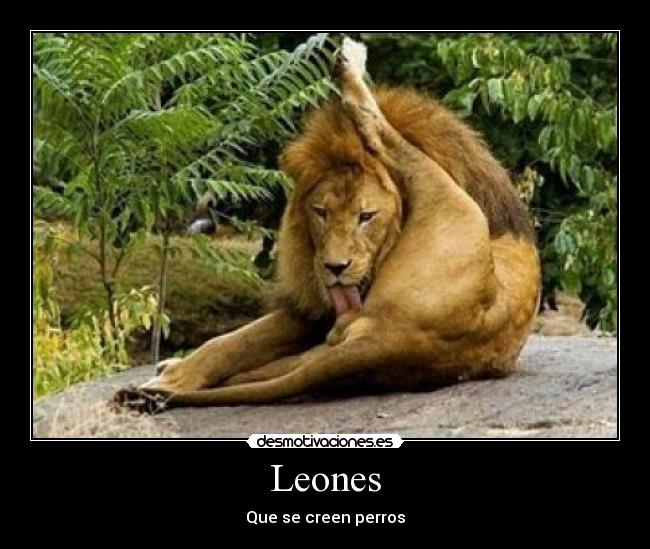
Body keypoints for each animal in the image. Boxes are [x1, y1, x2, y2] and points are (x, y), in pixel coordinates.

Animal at [114, 38, 540, 412]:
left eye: (366, 217)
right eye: (320, 212)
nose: (334, 268)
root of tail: (393, 336)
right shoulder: (313, 314)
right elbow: (236, 341)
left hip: (450, 198)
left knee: (375, 125)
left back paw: (349, 62)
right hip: (332, 342)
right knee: (260, 372)